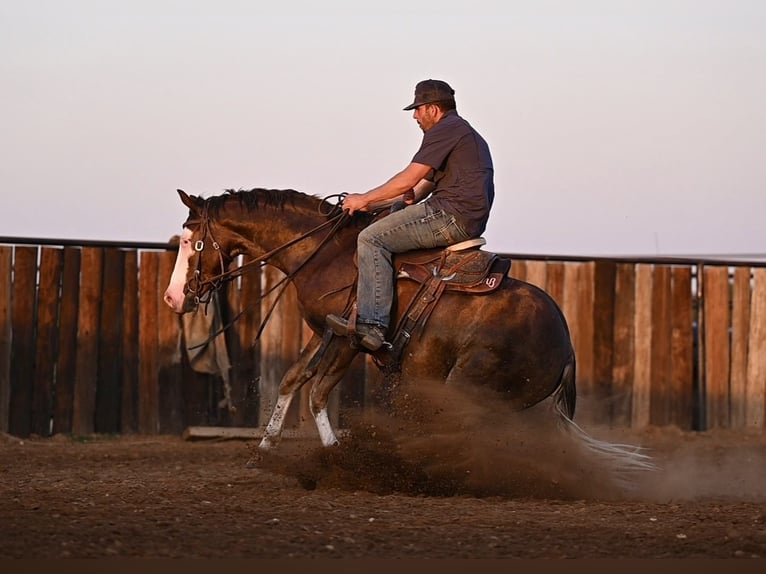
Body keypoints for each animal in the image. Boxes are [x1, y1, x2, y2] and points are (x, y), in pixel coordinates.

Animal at [165, 188, 656, 486]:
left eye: (192, 243)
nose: (173, 298)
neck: (327, 254)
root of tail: (566, 346)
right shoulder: (322, 330)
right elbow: (293, 380)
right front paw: (264, 451)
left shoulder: (348, 338)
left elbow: (318, 392)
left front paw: (340, 459)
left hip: (469, 383)